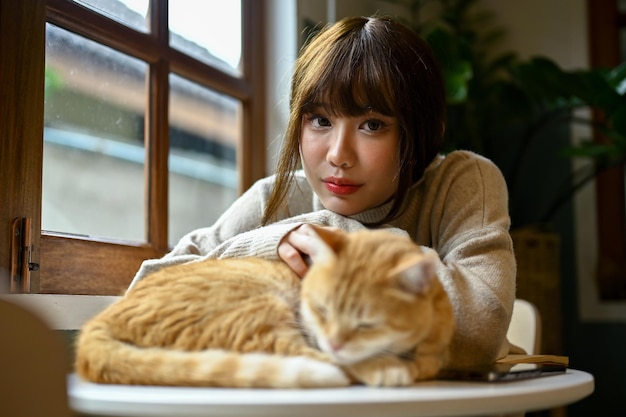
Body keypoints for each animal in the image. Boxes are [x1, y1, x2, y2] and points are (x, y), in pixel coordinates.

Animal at [75, 224, 450, 386]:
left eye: (366, 325)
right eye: (321, 310)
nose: (334, 341)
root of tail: (96, 324)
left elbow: (429, 362)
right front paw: (384, 366)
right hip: (258, 312)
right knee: (310, 359)